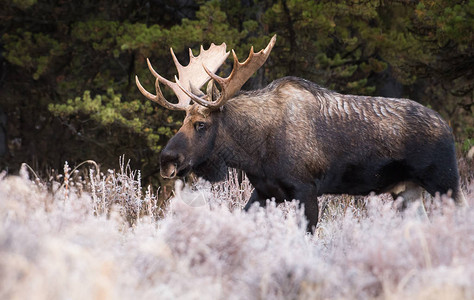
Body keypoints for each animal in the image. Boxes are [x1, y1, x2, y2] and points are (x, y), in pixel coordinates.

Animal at [136, 35, 466, 232]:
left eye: (201, 125)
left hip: (445, 181)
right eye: (182, 121)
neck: (254, 151)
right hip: (407, 190)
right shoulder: (266, 191)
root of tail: (447, 127)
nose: (167, 160)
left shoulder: (305, 190)